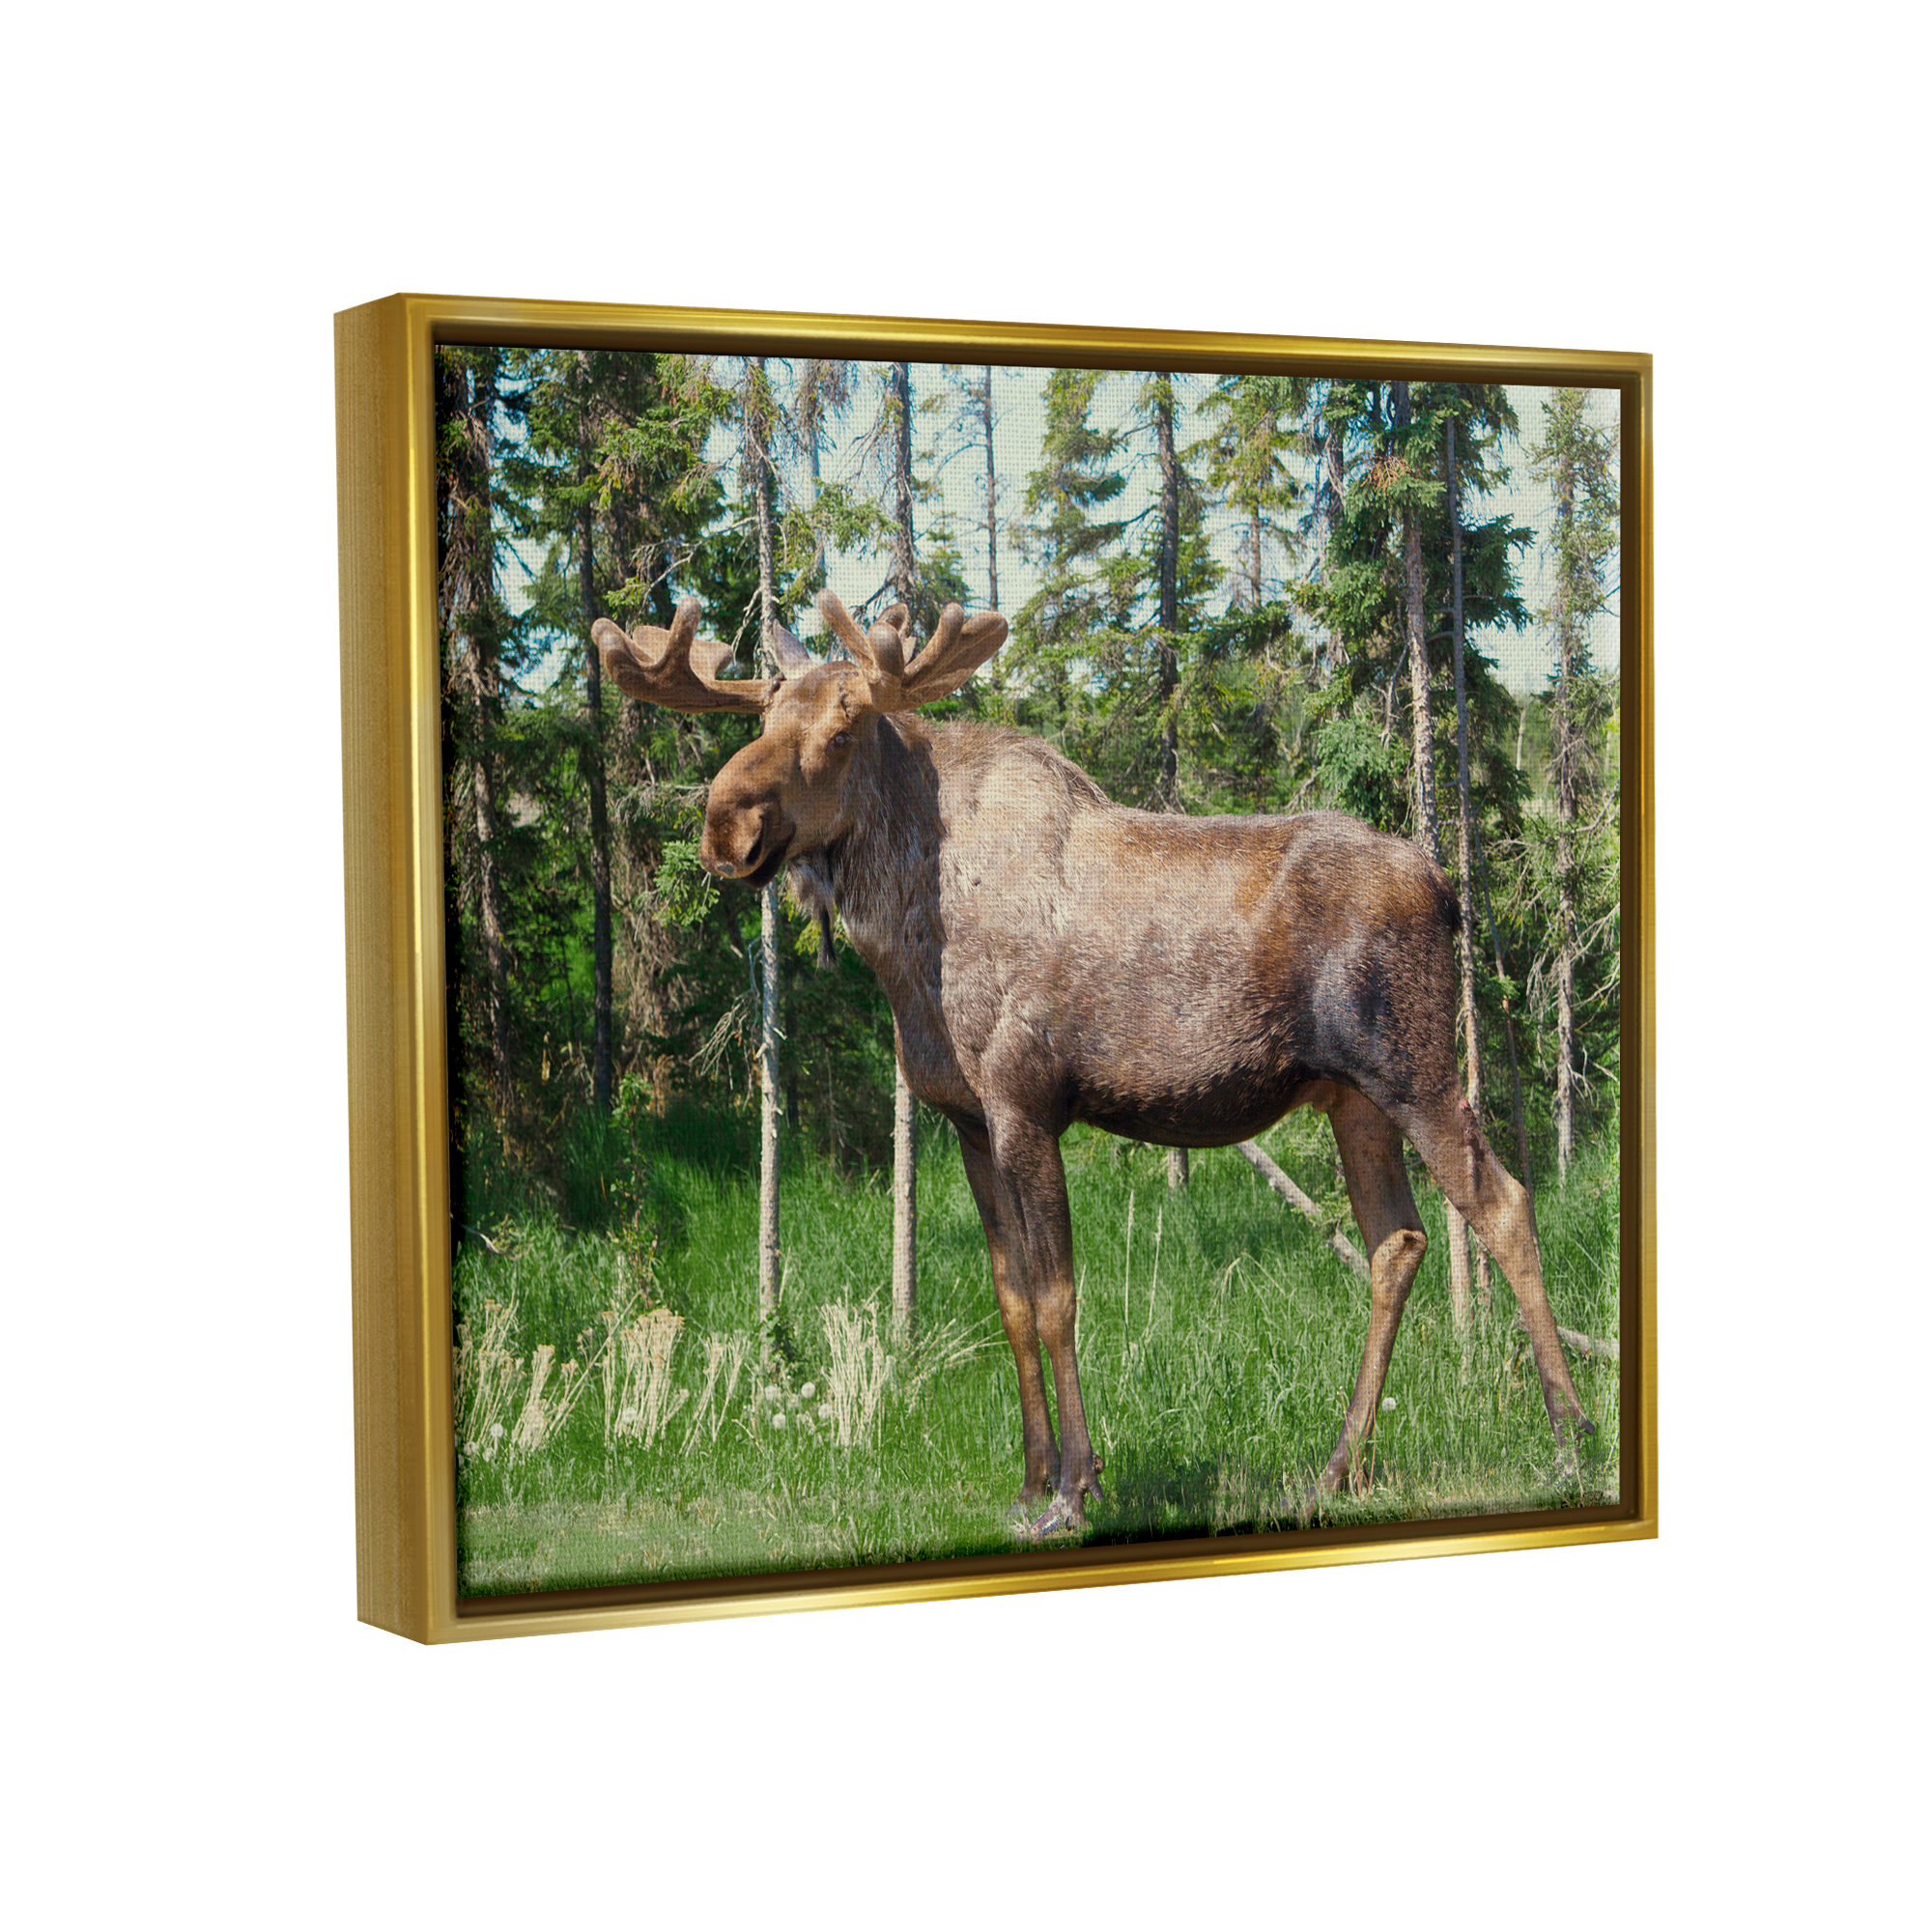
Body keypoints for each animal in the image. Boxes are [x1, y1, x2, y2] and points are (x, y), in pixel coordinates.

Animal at [593, 590, 1595, 1535]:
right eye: (760, 716)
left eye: (843, 727)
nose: (725, 827)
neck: (906, 945)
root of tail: (1449, 890)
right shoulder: (966, 1120)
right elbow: (1008, 1301)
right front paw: (1029, 1479)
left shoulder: (1025, 1105)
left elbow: (1055, 1297)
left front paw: (1075, 1491)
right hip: (1351, 1099)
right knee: (1399, 1240)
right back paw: (1342, 1465)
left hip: (1414, 1067)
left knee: (1505, 1205)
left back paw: (1568, 1436)